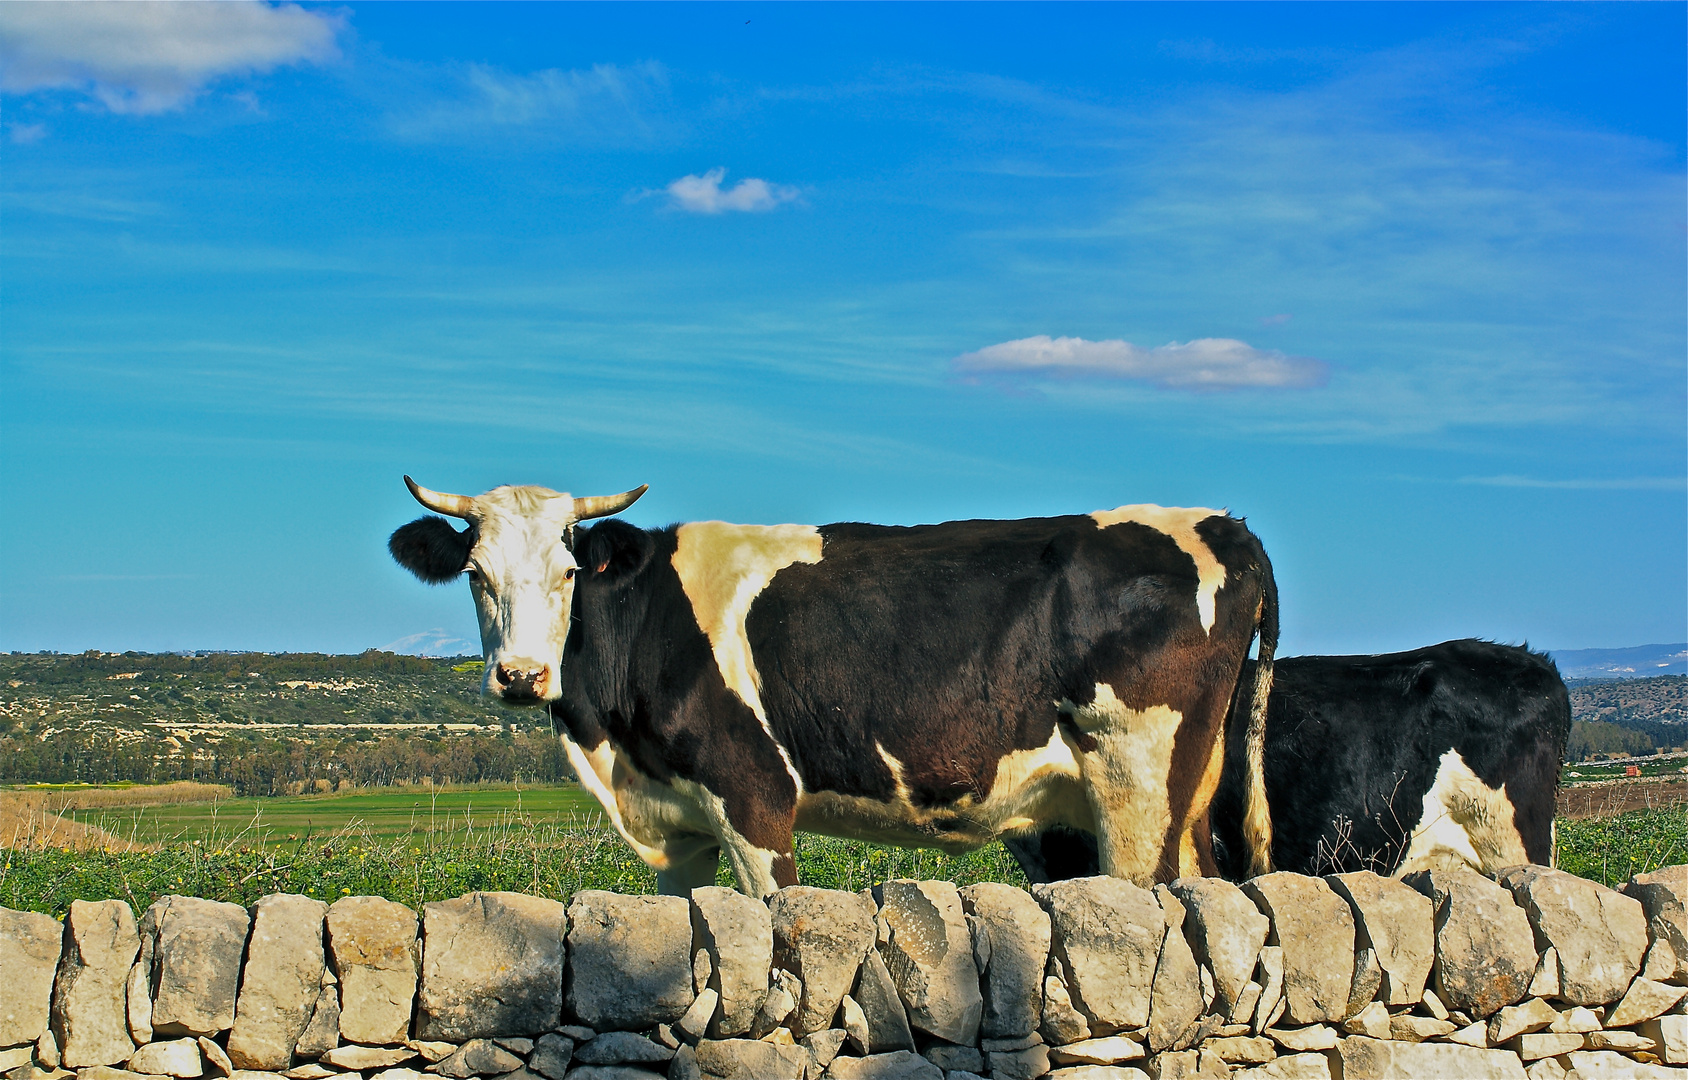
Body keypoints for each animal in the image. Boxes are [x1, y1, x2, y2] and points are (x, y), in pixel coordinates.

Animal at [386, 479, 1276, 891]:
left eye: (570, 572)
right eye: (474, 573)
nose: (520, 676)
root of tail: (1225, 524)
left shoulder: (752, 798)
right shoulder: (679, 828)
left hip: (1135, 788)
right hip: (1184, 799)